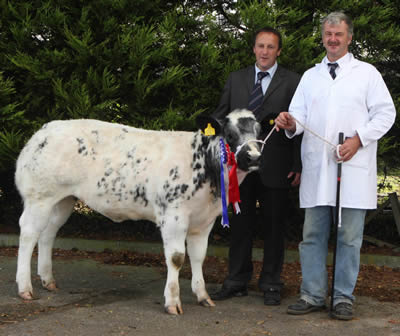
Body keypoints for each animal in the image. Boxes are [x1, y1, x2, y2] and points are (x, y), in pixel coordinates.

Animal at [14, 109, 260, 314]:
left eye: (259, 132)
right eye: (230, 134)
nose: (254, 157)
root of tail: (44, 130)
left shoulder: (205, 220)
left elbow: (199, 256)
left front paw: (203, 296)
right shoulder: (173, 215)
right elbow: (177, 258)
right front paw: (172, 302)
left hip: (63, 200)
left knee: (47, 233)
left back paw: (48, 280)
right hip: (39, 197)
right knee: (28, 234)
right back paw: (25, 288)